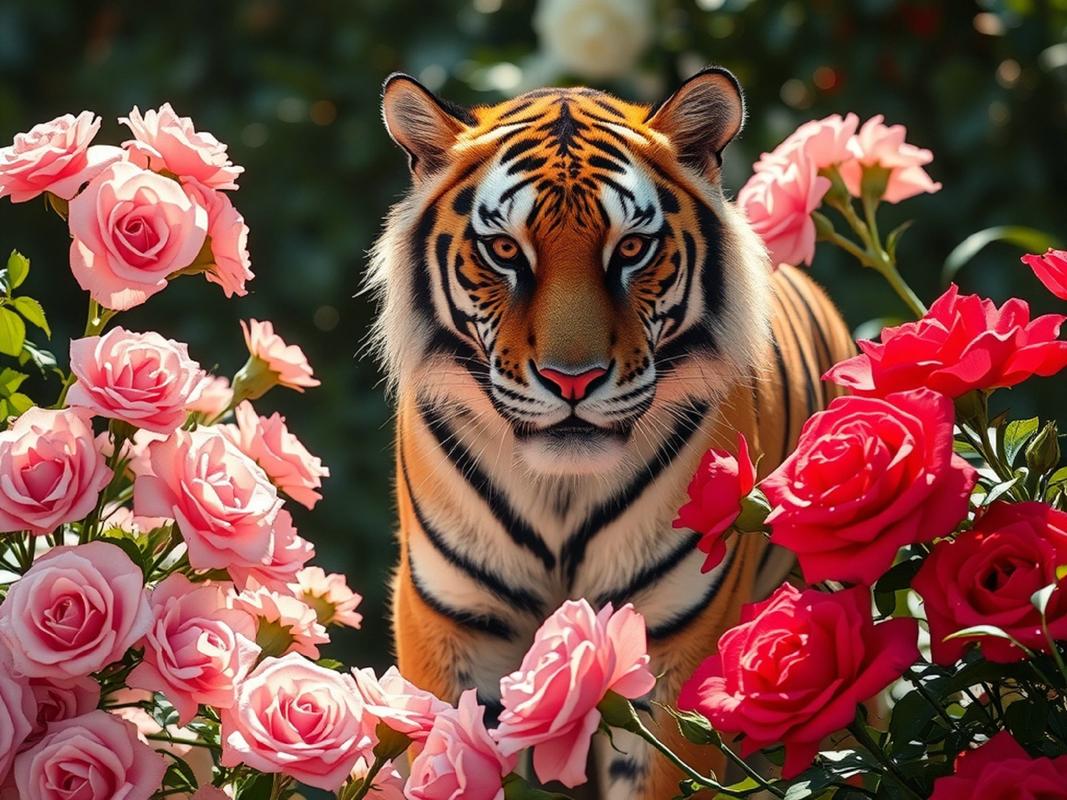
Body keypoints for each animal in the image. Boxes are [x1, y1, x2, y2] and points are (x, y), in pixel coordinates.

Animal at [366, 67, 854, 799]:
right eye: (504, 250)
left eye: (630, 248)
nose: (573, 381)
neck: (559, 494)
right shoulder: (452, 625)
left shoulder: (673, 639)